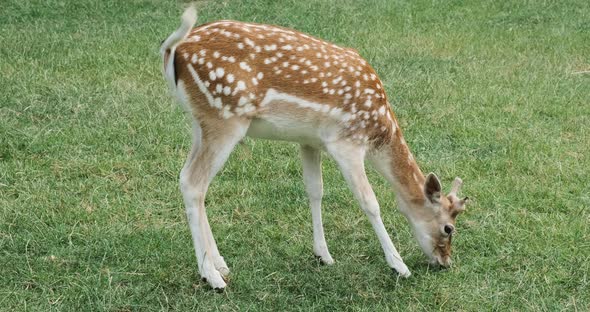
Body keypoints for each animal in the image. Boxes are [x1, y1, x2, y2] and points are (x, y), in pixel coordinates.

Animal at [160, 6, 470, 290]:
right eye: (449, 228)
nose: (446, 262)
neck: (379, 131)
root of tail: (173, 49)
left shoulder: (309, 141)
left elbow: (315, 190)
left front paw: (323, 255)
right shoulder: (347, 142)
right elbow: (370, 202)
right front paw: (399, 265)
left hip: (200, 123)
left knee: (190, 180)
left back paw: (220, 264)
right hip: (224, 118)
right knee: (193, 183)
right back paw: (211, 277)